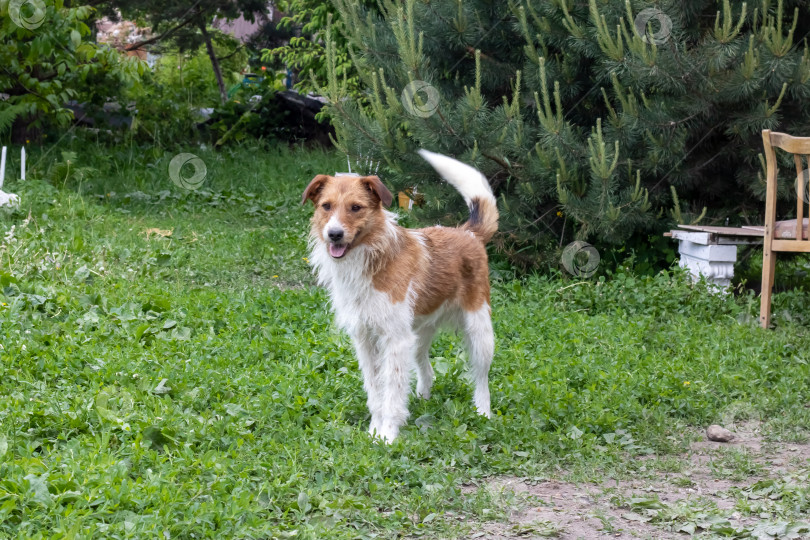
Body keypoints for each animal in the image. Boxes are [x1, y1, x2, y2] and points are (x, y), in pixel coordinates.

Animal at [302, 149, 496, 442]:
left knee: (481, 377)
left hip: (479, 331)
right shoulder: (366, 340)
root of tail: (468, 233)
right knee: (426, 367)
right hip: (418, 335)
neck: (372, 259)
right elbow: (376, 391)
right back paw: (424, 396)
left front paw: (388, 435)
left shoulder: (395, 340)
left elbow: (392, 393)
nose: (334, 234)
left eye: (356, 208)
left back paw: (483, 412)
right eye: (326, 206)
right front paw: (375, 428)